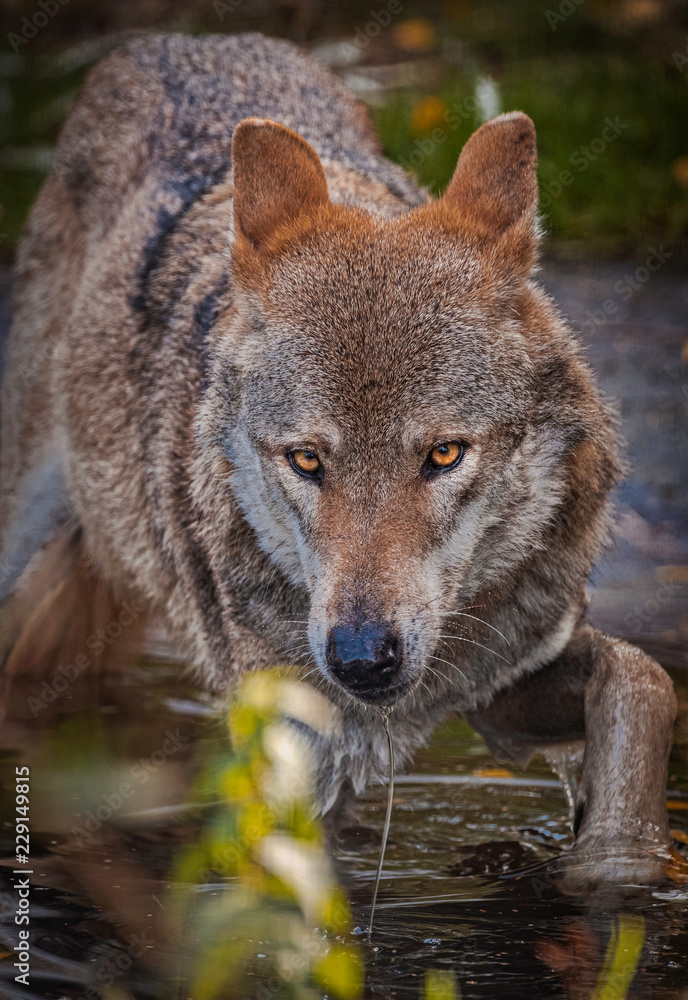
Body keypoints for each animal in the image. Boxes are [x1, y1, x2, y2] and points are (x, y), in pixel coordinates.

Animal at [0, 32, 676, 883]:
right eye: (306, 460)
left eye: (445, 454)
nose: (361, 660)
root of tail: (178, 41)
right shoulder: (292, 774)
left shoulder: (505, 688)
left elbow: (643, 678)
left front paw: (616, 860)